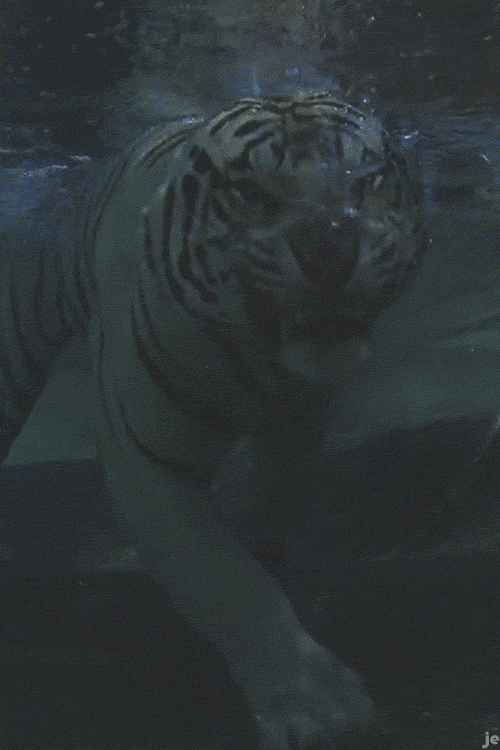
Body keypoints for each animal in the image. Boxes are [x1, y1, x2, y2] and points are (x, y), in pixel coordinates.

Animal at [1, 92, 425, 749]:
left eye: (365, 180)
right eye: (252, 192)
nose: (330, 251)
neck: (260, 358)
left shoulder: (297, 424)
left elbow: (266, 505)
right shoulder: (148, 463)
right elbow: (227, 579)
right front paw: (318, 708)